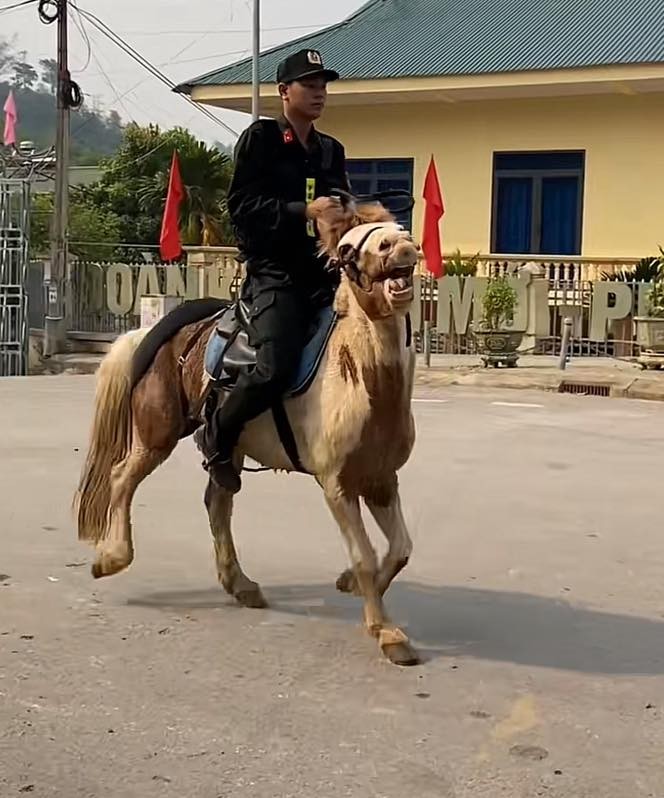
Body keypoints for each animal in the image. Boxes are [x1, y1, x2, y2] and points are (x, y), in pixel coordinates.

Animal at [74, 202, 420, 668]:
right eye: (348, 249)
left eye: (399, 229)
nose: (397, 247)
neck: (362, 381)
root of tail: (151, 332)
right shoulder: (338, 485)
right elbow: (365, 556)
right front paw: (385, 631)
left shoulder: (381, 479)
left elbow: (400, 549)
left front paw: (354, 589)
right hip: (157, 433)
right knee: (122, 478)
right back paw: (111, 558)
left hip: (229, 445)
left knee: (217, 502)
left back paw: (240, 583)